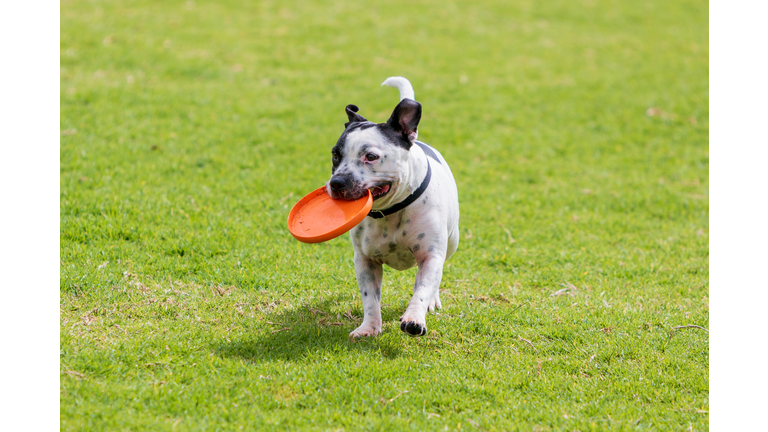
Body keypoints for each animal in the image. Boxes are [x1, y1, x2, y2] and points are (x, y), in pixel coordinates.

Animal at [326, 77, 460, 338]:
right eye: (336, 155)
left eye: (371, 156)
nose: (337, 182)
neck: (391, 211)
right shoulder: (365, 261)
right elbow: (370, 297)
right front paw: (369, 327)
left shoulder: (430, 256)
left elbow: (423, 288)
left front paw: (414, 319)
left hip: (452, 241)